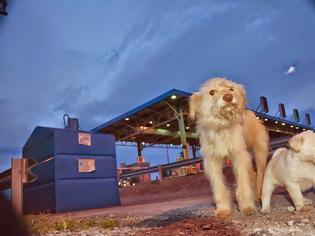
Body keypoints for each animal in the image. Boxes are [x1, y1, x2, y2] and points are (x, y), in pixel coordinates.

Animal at [190, 78, 270, 219]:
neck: (221, 126)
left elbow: (243, 183)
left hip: (260, 155)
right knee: (253, 174)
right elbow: (219, 187)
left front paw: (247, 207)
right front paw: (223, 209)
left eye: (231, 89)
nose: (228, 97)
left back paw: (258, 196)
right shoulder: (212, 162)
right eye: (212, 92)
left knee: (260, 175)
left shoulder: (240, 156)